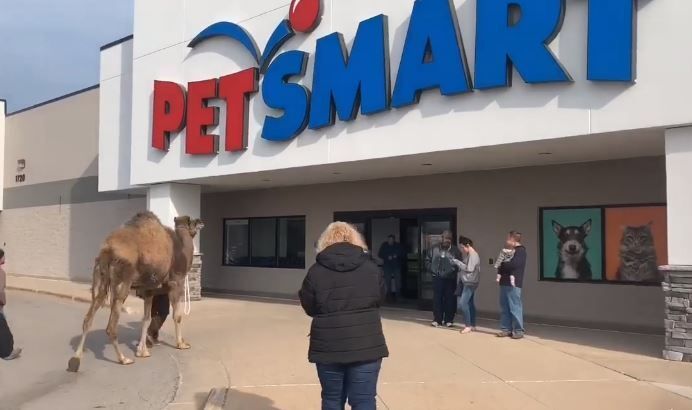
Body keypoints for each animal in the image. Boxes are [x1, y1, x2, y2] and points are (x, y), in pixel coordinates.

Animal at [66, 211, 204, 372]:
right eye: (193, 222)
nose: (201, 222)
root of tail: (107, 251)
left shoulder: (149, 289)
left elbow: (146, 319)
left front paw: (142, 351)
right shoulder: (176, 283)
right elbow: (177, 316)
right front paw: (182, 344)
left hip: (100, 277)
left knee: (89, 316)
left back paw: (75, 361)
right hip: (123, 280)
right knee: (111, 325)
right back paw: (123, 359)